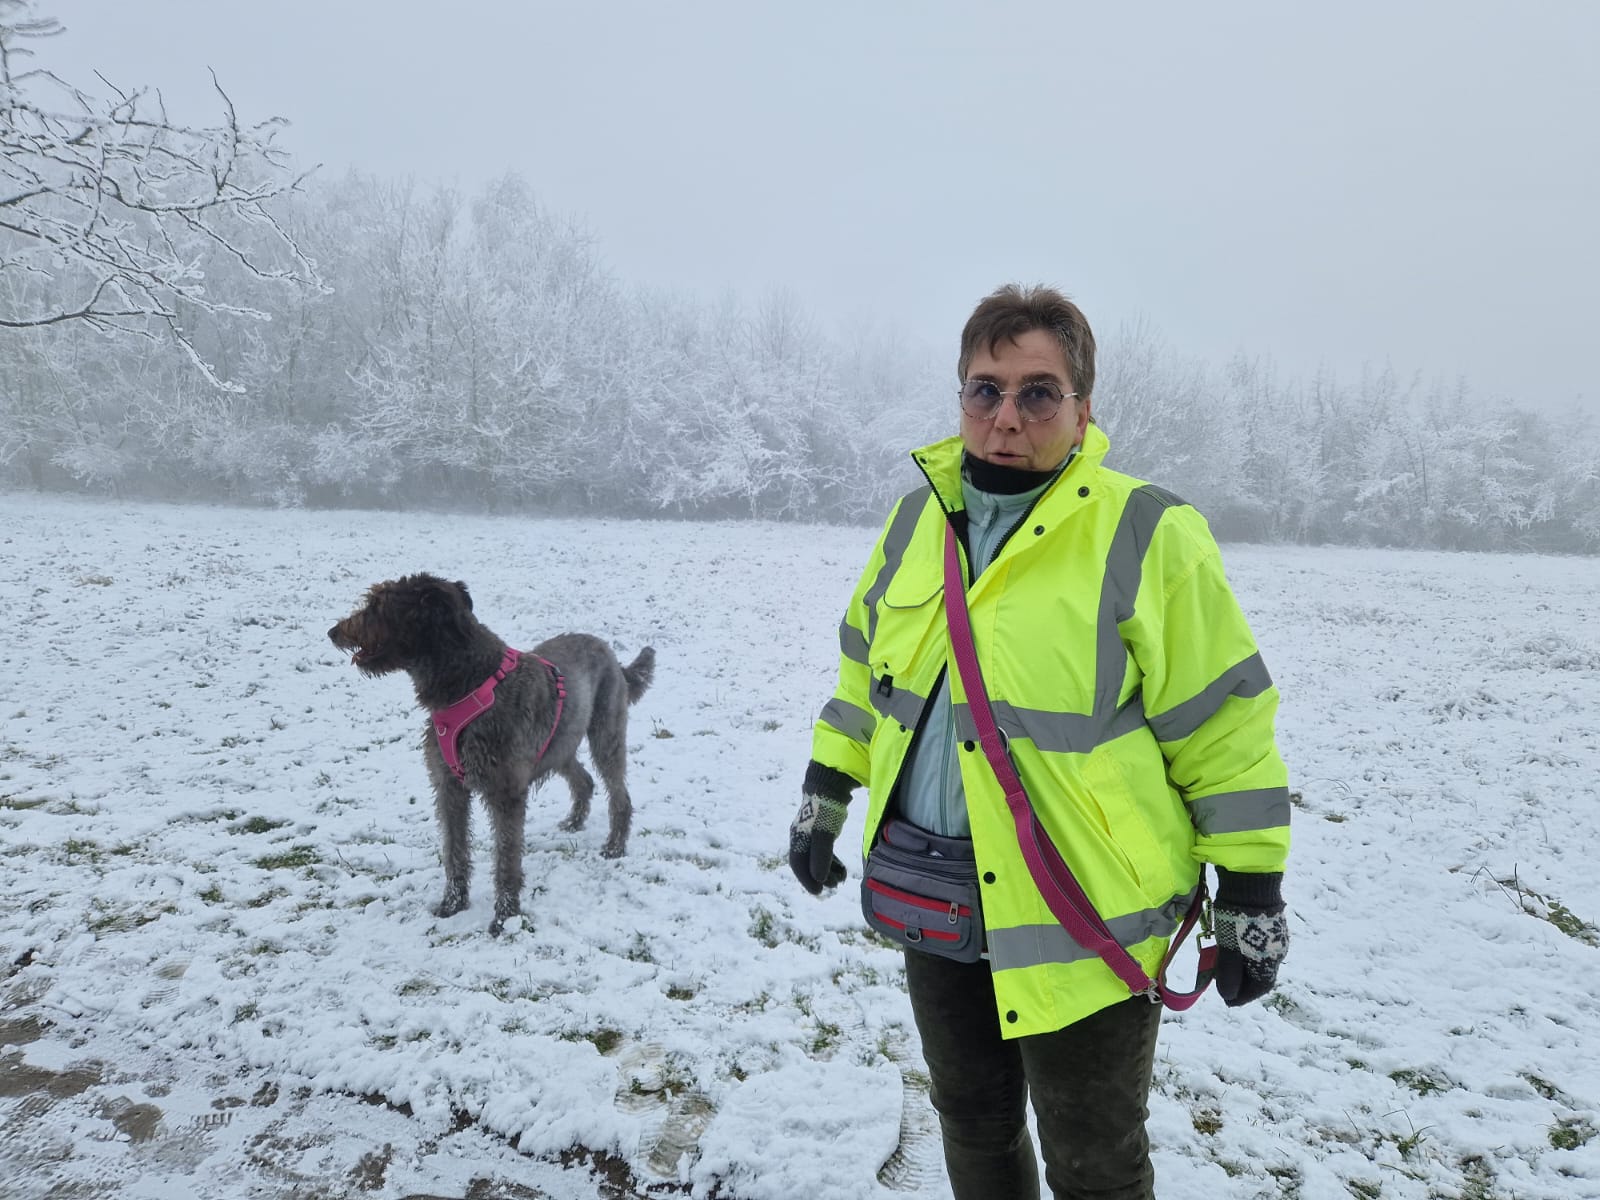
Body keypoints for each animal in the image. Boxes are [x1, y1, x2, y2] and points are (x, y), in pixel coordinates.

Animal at [328, 573, 655, 934]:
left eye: (377, 605)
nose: (333, 631)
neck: (469, 683)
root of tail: (611, 654)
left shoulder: (506, 792)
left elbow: (506, 857)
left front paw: (506, 915)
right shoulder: (449, 787)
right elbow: (454, 850)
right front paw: (453, 903)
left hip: (605, 734)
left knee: (619, 793)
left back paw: (615, 845)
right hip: (559, 744)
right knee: (583, 779)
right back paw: (574, 821)